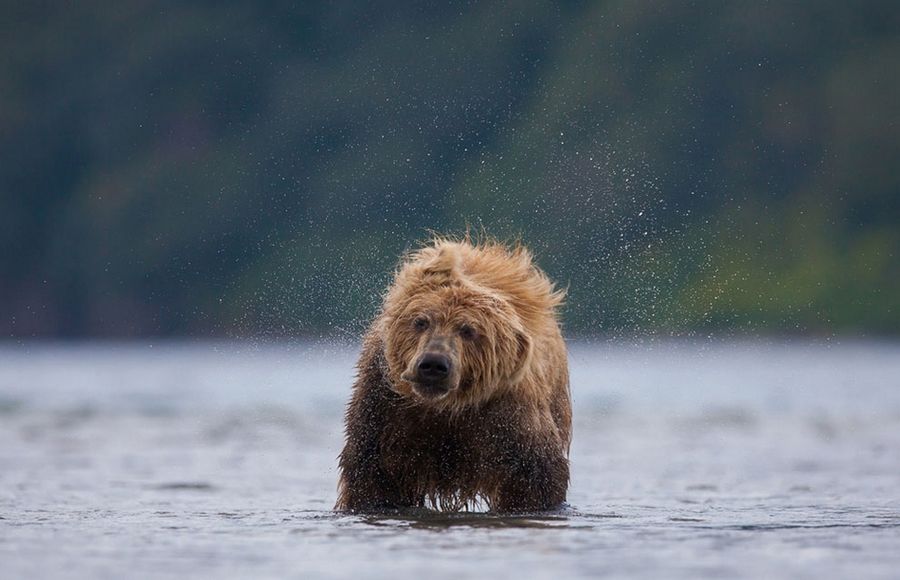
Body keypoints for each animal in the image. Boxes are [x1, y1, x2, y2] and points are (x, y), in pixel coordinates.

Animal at [338, 236, 568, 512]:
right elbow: (374, 477)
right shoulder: (384, 409)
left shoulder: (508, 415)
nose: (433, 365)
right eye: (421, 321)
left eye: (468, 330)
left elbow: (534, 478)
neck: (446, 407)